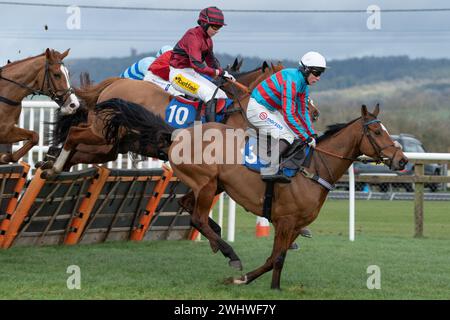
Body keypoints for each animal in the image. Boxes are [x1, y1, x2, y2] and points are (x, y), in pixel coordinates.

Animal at [167, 103, 410, 290]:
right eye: (377, 132)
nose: (402, 160)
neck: (314, 168)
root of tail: (180, 136)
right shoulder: (286, 220)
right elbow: (278, 258)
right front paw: (272, 286)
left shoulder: (296, 224)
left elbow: (274, 258)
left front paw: (245, 280)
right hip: (206, 183)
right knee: (197, 218)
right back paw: (230, 253)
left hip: (214, 184)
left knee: (186, 205)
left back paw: (216, 240)